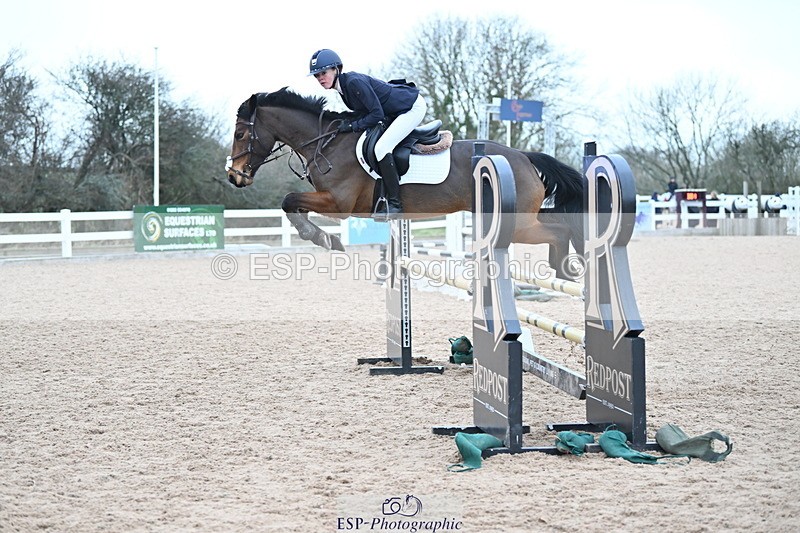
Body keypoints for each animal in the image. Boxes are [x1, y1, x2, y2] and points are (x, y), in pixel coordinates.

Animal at [225, 88, 585, 278]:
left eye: (241, 133)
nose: (234, 176)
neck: (327, 141)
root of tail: (524, 155)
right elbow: (291, 204)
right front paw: (322, 237)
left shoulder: (339, 203)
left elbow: (288, 199)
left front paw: (325, 239)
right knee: (561, 224)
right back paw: (564, 270)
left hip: (517, 221)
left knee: (559, 230)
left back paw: (567, 269)